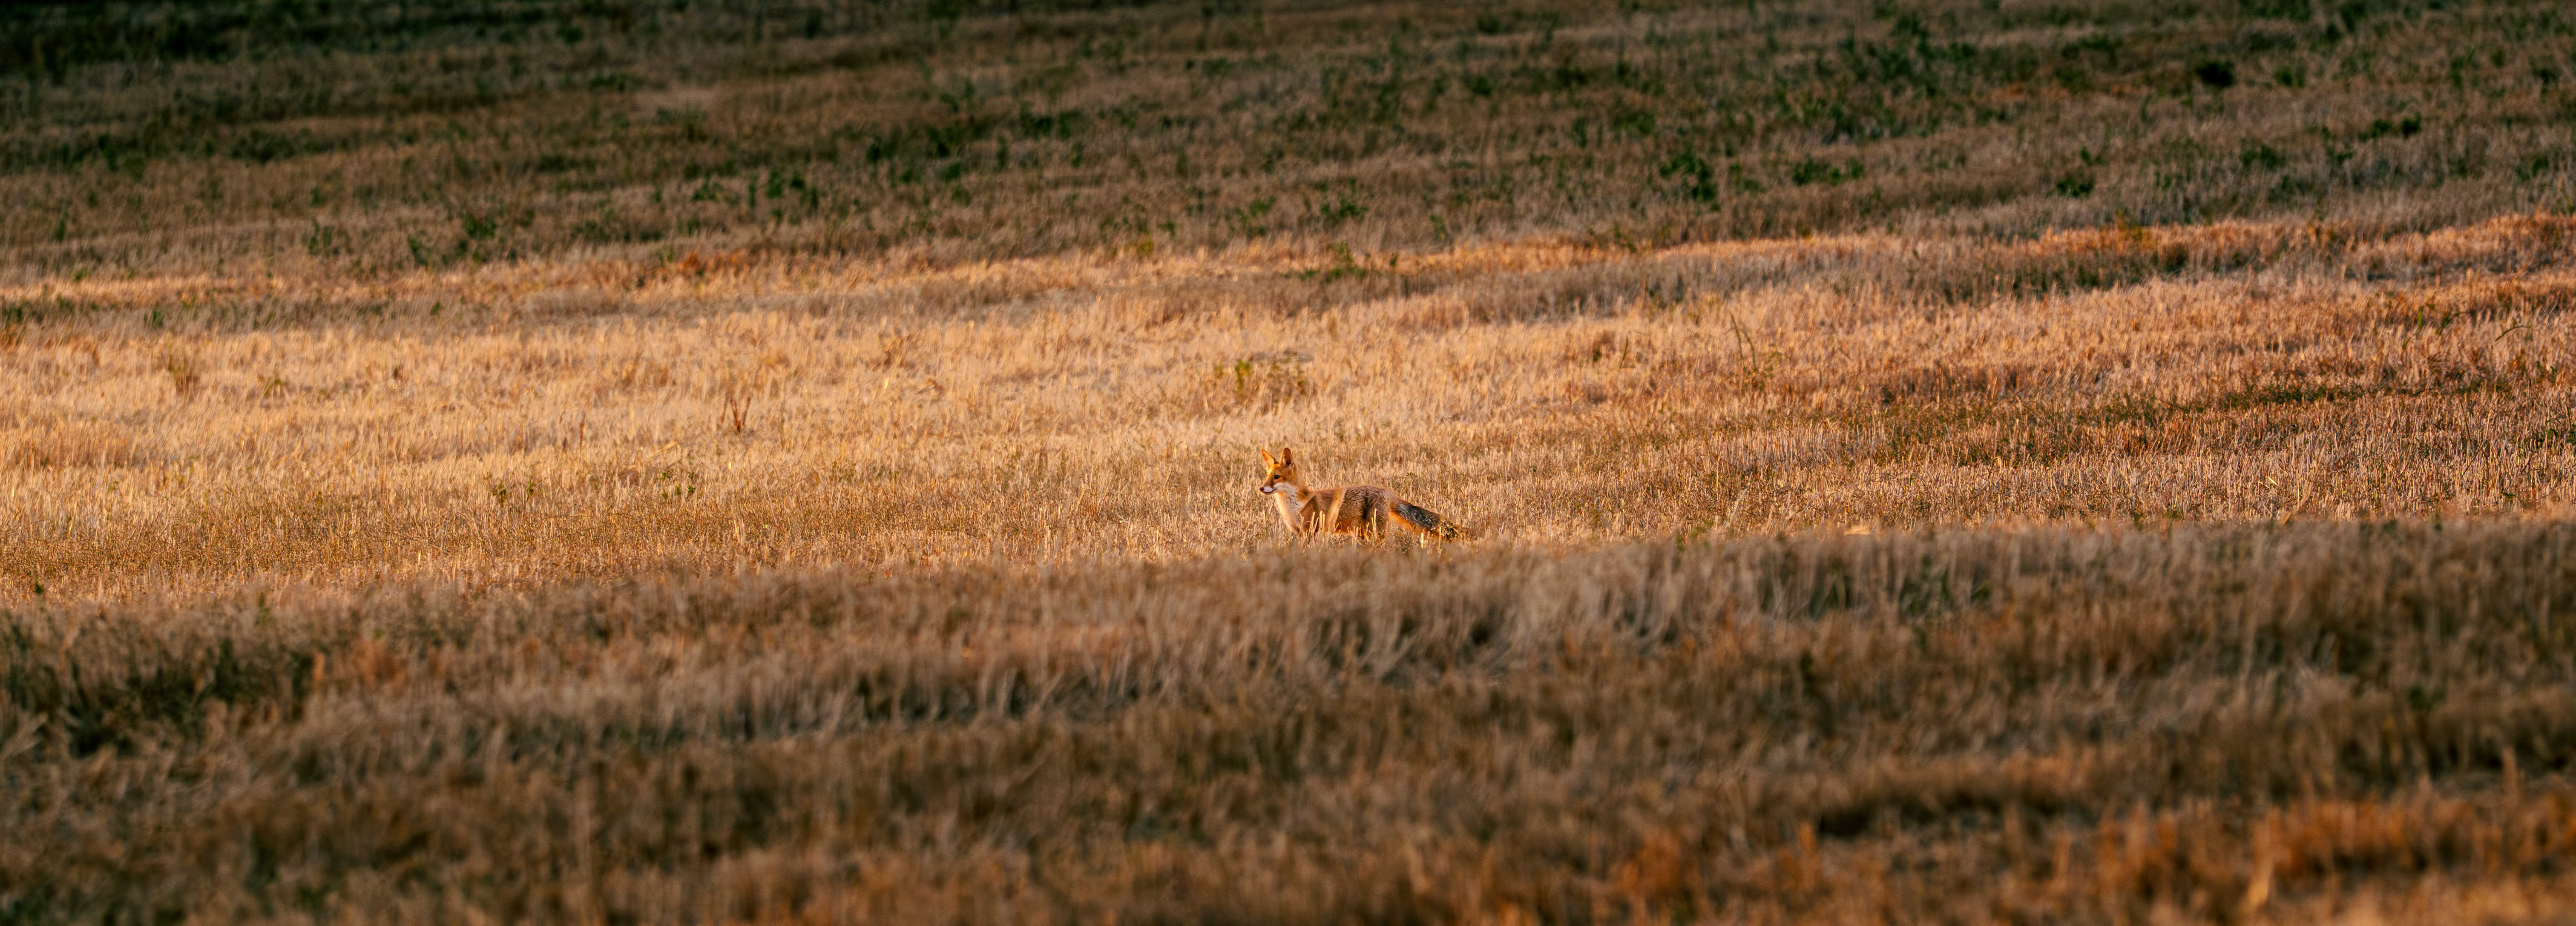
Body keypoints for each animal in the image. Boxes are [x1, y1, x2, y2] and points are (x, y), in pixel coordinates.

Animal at [1257, 447, 1473, 543]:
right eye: (1267, 477)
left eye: (1277, 477)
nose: (1261, 489)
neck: (1294, 505)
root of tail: (1389, 493)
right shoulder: (1299, 533)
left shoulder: (1311, 531)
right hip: (1363, 534)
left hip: (1373, 532)